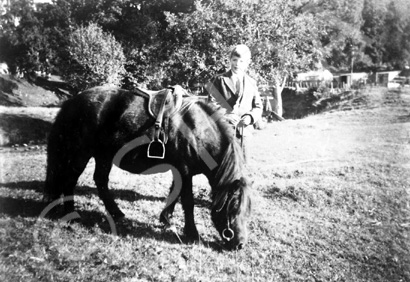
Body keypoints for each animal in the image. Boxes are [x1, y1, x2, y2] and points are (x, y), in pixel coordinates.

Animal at [43, 84, 251, 249]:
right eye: (233, 208)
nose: (240, 244)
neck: (197, 130)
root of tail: (73, 101)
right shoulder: (185, 171)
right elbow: (187, 201)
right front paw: (192, 233)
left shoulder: (178, 170)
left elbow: (174, 194)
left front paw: (166, 218)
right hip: (81, 153)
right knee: (70, 181)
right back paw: (71, 214)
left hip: (103, 155)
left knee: (100, 181)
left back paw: (116, 213)